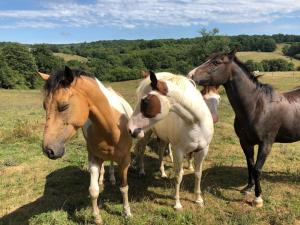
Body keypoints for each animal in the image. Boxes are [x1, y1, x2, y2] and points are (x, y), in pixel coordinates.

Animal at [37, 66, 132, 223]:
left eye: (64, 106)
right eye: (44, 106)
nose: (48, 150)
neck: (111, 125)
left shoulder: (125, 160)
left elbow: (124, 188)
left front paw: (127, 213)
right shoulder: (93, 158)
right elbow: (93, 191)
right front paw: (97, 218)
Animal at [127, 71, 214, 209]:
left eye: (145, 101)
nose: (130, 129)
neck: (195, 122)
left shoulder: (202, 150)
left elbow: (198, 174)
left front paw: (198, 199)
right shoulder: (178, 151)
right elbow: (179, 175)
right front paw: (177, 203)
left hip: (162, 138)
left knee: (161, 152)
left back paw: (162, 173)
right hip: (146, 133)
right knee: (141, 151)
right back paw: (141, 171)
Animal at [188, 49, 300, 207]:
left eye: (216, 62)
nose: (190, 75)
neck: (256, 106)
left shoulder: (266, 144)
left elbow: (257, 169)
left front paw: (258, 198)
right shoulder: (245, 142)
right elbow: (250, 165)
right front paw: (248, 188)